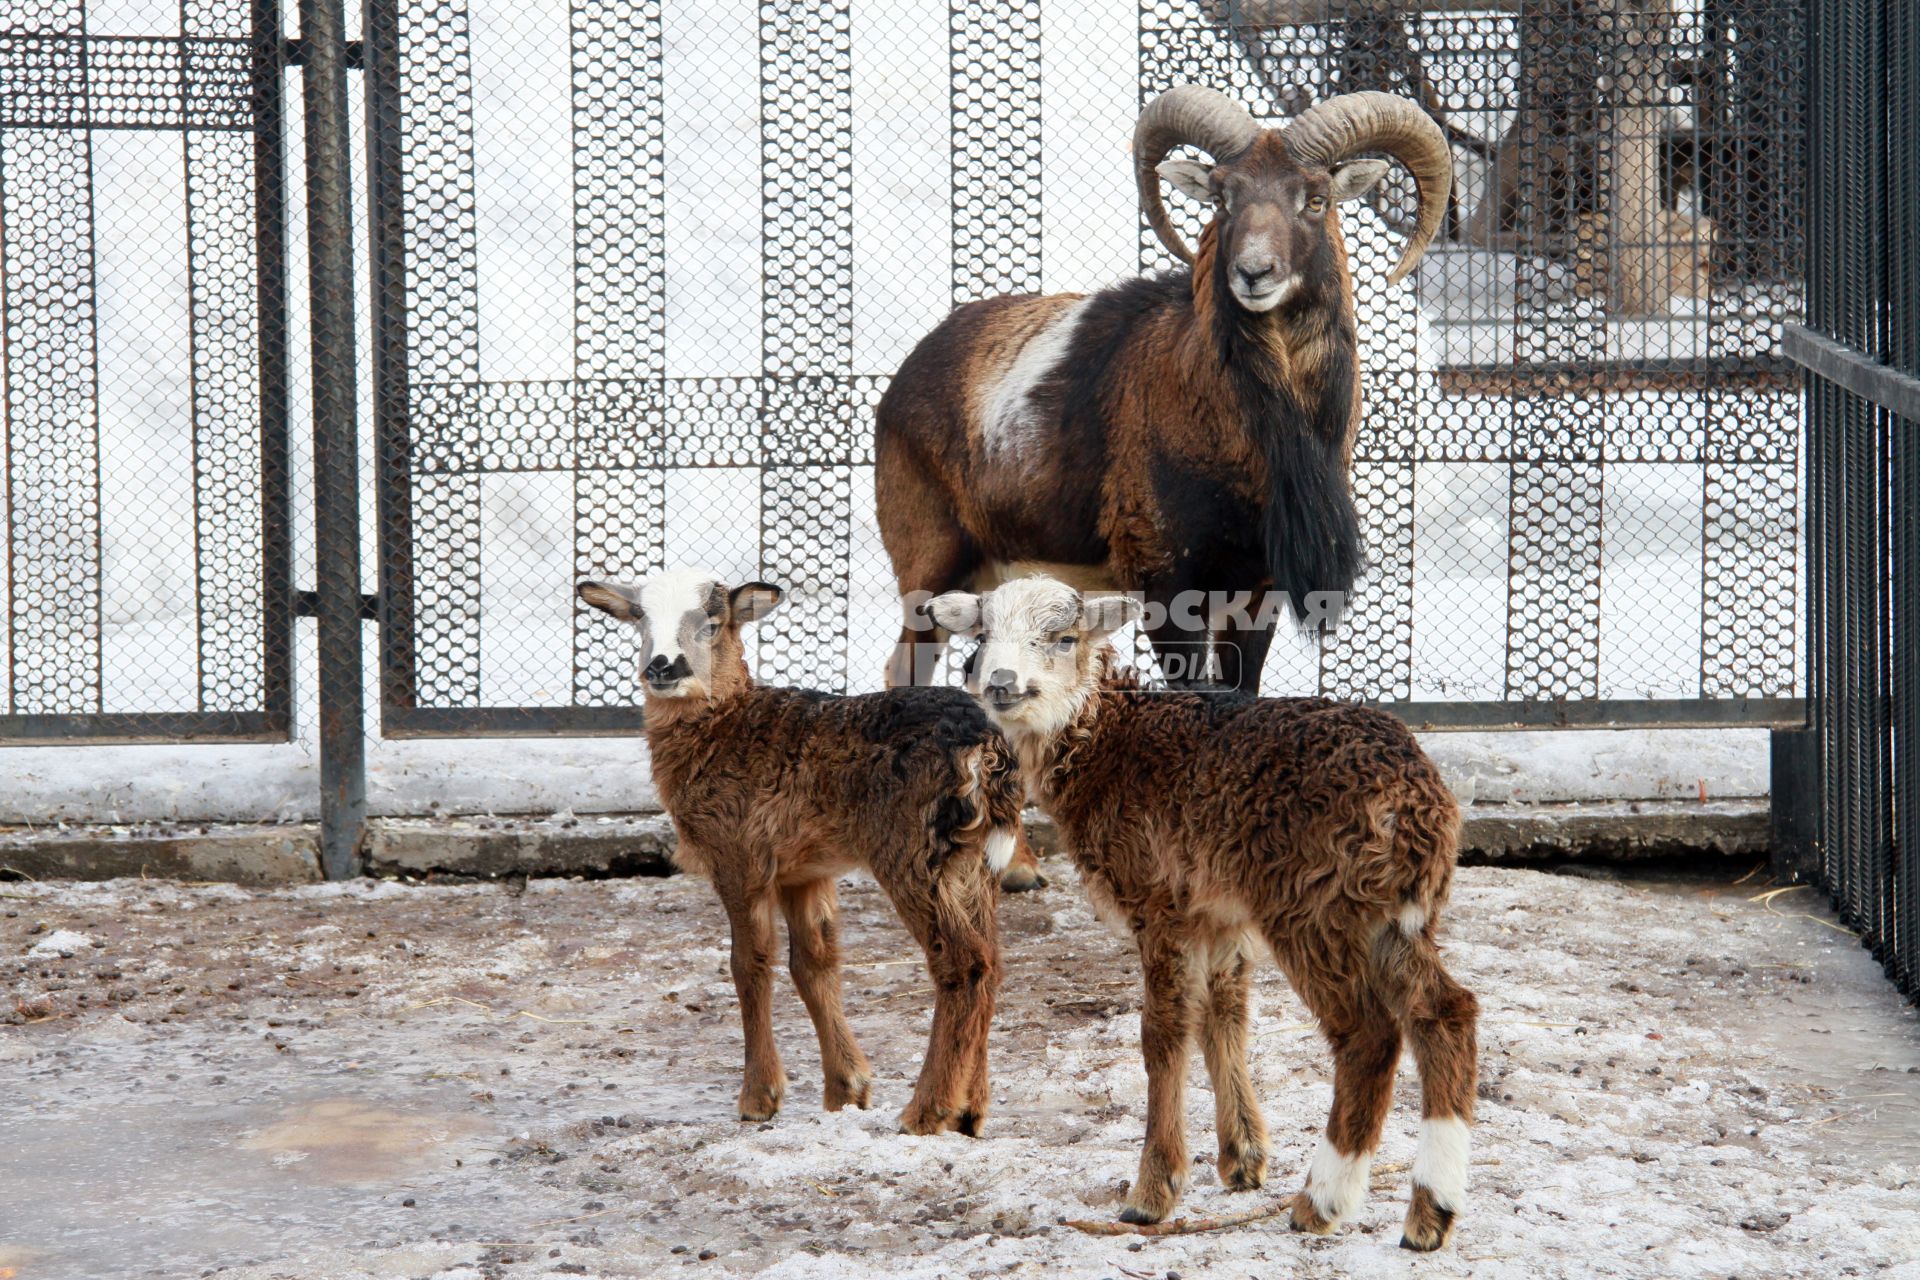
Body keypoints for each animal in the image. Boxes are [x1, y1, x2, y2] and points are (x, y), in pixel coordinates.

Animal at [576, 564, 1029, 1136]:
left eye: (712, 622)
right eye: (639, 617)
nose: (662, 666)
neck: (721, 727)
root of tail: (986, 751)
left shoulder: (739, 850)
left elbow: (748, 963)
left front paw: (758, 1097)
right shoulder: (804, 868)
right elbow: (813, 963)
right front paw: (846, 1091)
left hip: (912, 847)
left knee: (963, 962)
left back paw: (926, 1111)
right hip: (975, 857)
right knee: (992, 959)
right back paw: (971, 1112)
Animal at [933, 579, 1482, 1251]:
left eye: (1064, 638)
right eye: (983, 635)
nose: (1001, 682)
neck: (1104, 742)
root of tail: (1417, 802)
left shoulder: (1159, 899)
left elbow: (1163, 1032)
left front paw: (1152, 1193)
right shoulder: (1219, 912)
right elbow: (1224, 1016)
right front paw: (1242, 1158)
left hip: (1313, 903)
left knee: (1368, 1034)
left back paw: (1322, 1201)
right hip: (1391, 913)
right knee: (1445, 1012)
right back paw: (1431, 1213)